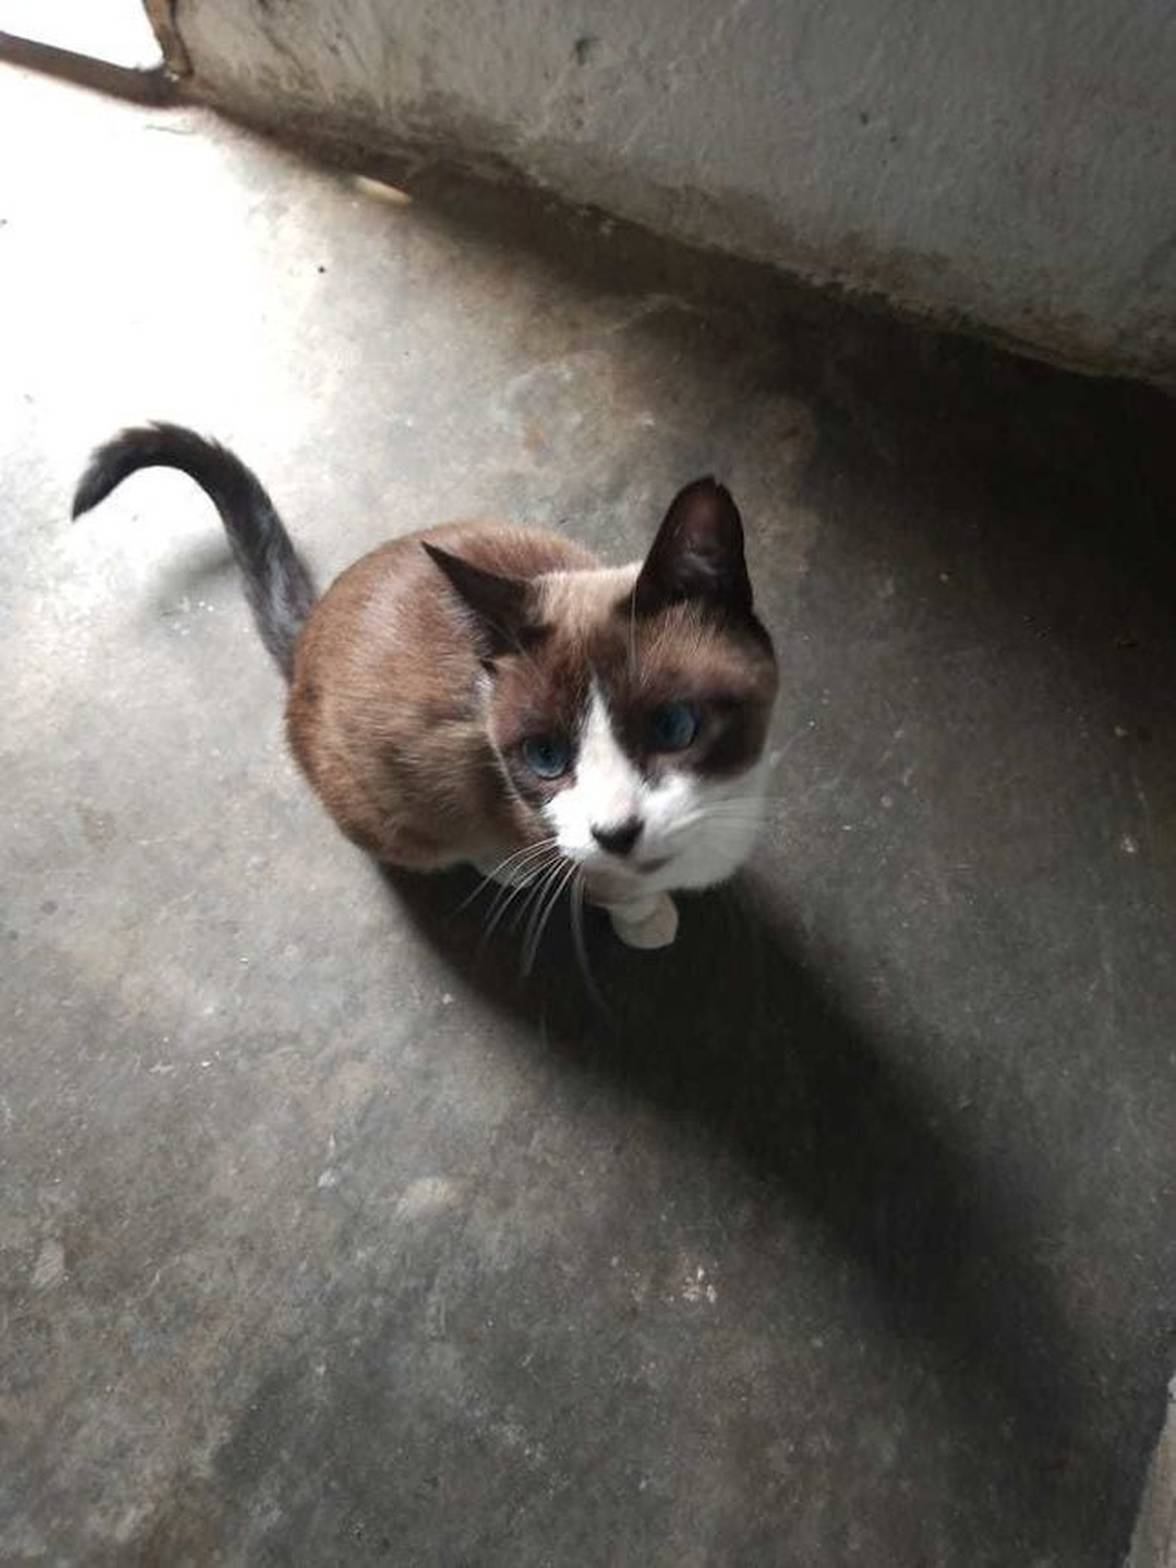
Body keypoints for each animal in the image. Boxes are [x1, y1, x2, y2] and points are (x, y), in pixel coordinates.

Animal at [73, 425, 778, 950]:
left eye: (674, 727)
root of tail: (308, 636)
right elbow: (613, 890)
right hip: (397, 816)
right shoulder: (550, 838)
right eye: (545, 758)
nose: (616, 833)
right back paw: (503, 868)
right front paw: (646, 919)